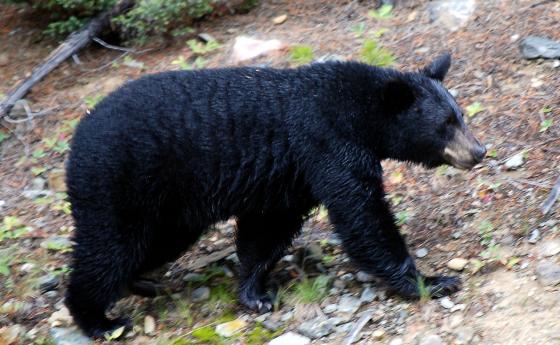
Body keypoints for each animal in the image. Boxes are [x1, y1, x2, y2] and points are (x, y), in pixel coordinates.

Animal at [64, 53, 486, 336]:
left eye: (460, 115)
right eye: (445, 124)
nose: (479, 151)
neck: (359, 113)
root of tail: (77, 136)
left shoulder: (291, 177)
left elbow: (267, 231)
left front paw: (254, 293)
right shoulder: (328, 144)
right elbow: (363, 217)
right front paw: (431, 281)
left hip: (169, 208)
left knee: (154, 244)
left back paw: (141, 283)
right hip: (119, 182)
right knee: (109, 248)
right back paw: (99, 320)